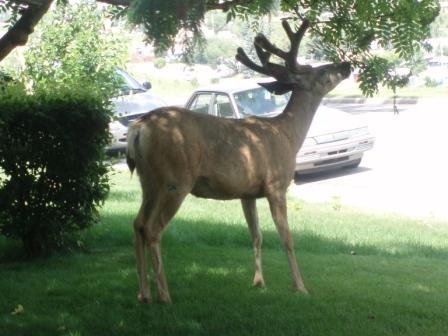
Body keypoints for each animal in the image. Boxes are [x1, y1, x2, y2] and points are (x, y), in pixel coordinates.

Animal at [125, 18, 350, 304]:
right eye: (321, 72)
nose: (346, 64)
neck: (288, 135)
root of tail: (139, 127)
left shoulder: (248, 192)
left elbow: (256, 235)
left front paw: (258, 282)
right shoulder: (276, 185)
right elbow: (286, 238)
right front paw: (300, 286)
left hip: (149, 180)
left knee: (138, 224)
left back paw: (143, 293)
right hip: (175, 179)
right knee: (153, 229)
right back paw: (164, 295)